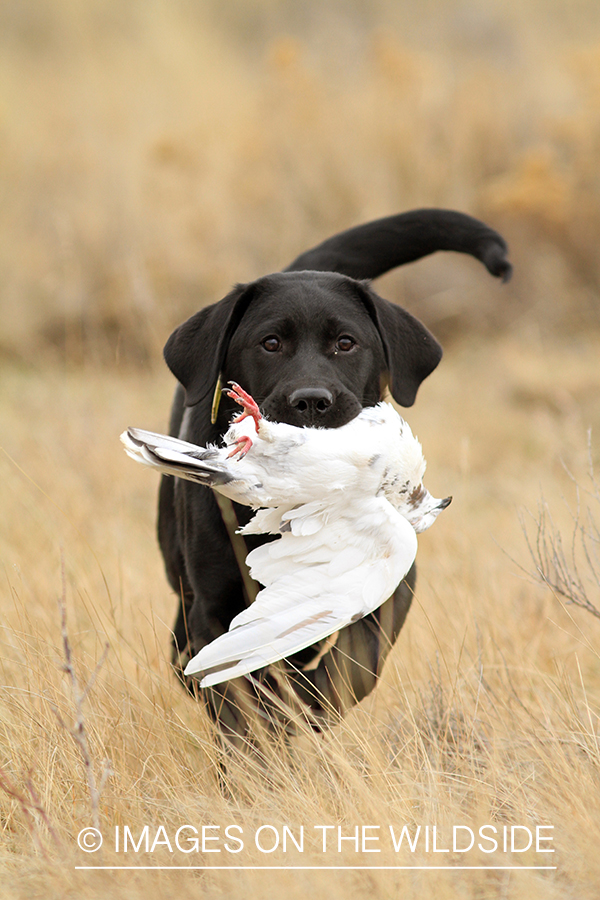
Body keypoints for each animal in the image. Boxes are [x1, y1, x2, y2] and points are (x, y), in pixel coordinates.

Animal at [156, 211, 510, 740]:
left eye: (346, 343)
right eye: (270, 343)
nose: (311, 401)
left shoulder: (393, 591)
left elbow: (353, 666)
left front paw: (304, 709)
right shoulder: (213, 607)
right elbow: (237, 704)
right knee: (188, 662)